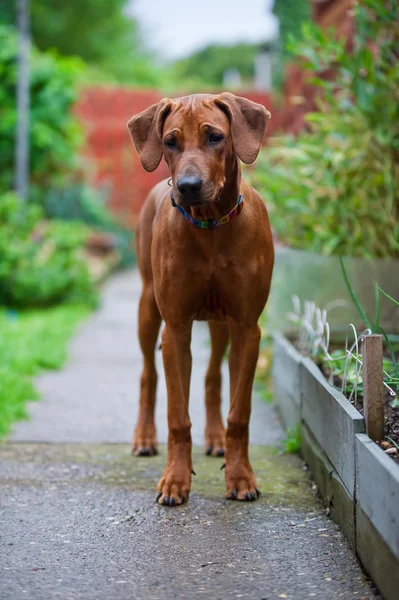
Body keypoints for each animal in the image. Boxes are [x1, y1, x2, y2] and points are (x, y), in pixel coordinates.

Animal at [128, 92, 276, 506]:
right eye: (169, 142)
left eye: (215, 137)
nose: (188, 186)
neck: (210, 226)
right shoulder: (175, 329)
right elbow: (177, 416)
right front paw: (175, 480)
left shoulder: (247, 328)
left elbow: (239, 413)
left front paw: (241, 477)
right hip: (148, 309)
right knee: (148, 374)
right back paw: (144, 437)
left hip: (220, 324)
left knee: (212, 376)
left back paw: (214, 439)